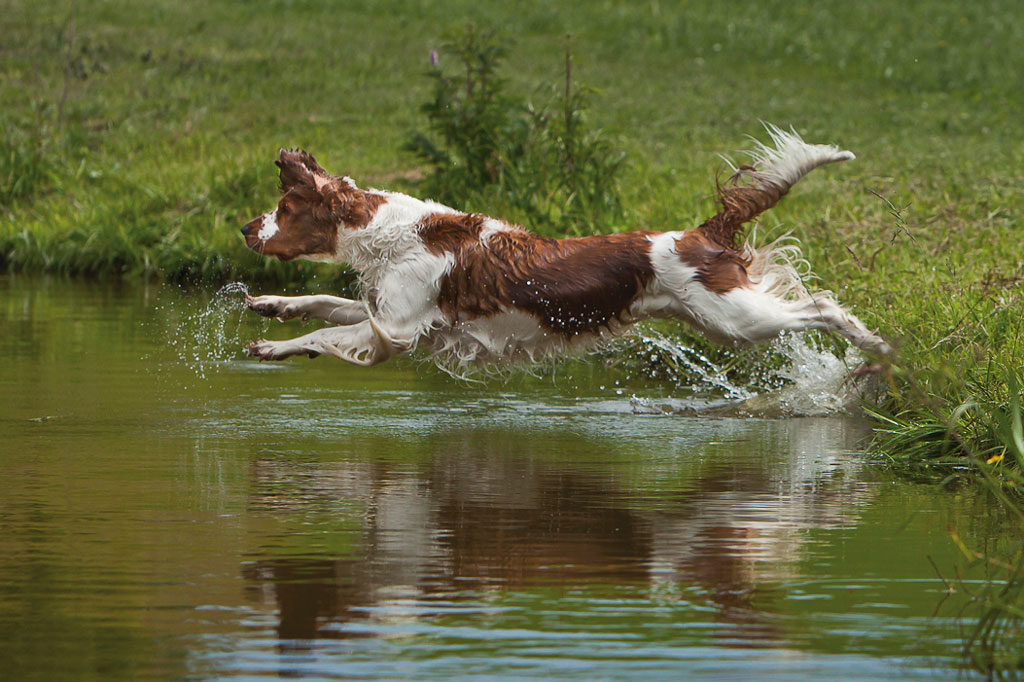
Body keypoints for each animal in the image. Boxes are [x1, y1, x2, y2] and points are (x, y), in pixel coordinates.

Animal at [237, 124, 888, 368]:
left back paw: (876, 352)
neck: (392, 233)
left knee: (821, 308)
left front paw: (276, 346)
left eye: (285, 210)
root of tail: (702, 233)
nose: (244, 229)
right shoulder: (397, 312)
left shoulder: (398, 329)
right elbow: (324, 304)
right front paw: (271, 306)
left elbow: (332, 335)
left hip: (734, 317)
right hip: (720, 322)